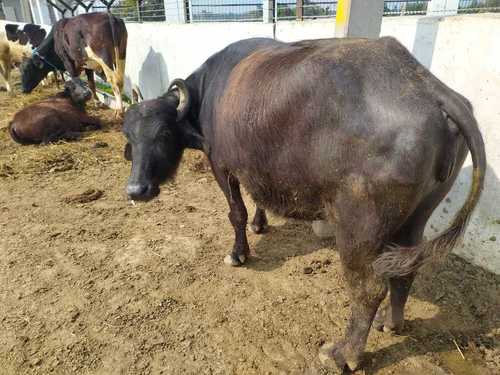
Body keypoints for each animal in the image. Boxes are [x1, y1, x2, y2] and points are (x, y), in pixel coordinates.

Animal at [120, 37, 484, 374]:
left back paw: (344, 354)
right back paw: (390, 323)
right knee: (406, 271)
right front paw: (260, 223)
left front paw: (239, 253)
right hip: (417, 216)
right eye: (129, 136)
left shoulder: (221, 165)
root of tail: (430, 89)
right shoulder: (255, 166)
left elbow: (236, 213)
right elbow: (257, 198)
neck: (209, 93)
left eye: (163, 133)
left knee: (368, 287)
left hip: (358, 225)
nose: (137, 190)